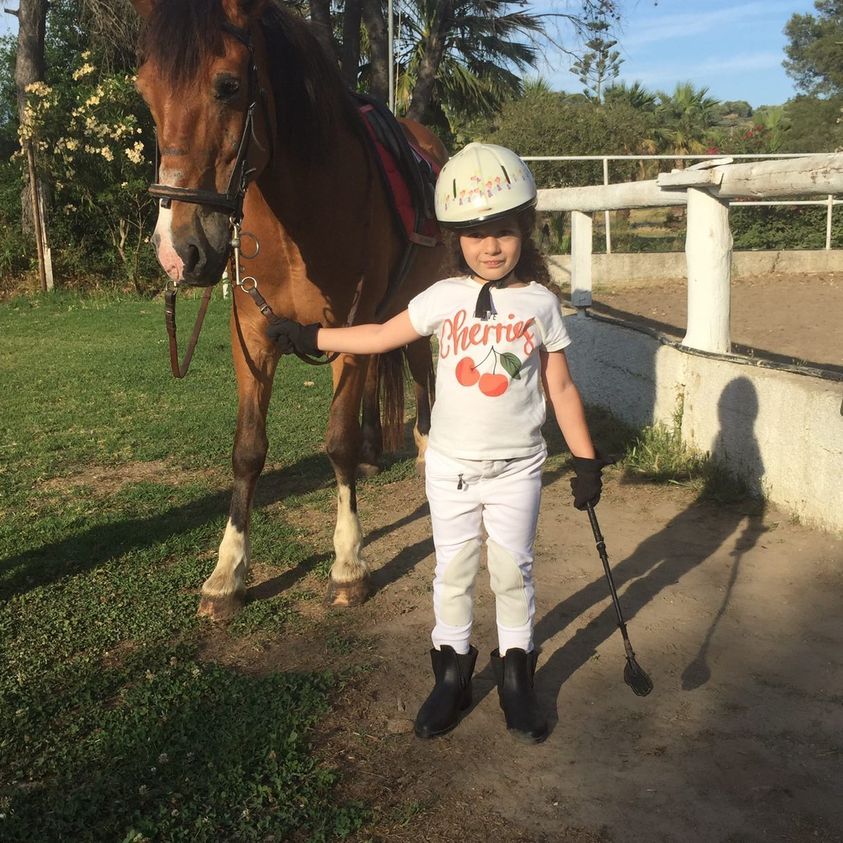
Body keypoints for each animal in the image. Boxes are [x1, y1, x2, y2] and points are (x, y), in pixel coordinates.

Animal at [131, 0, 447, 617]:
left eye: (228, 85)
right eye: (145, 91)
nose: (178, 251)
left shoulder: (351, 327)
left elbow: (336, 442)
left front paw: (349, 566)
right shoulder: (253, 336)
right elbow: (247, 451)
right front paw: (227, 572)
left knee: (423, 371)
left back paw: (426, 455)